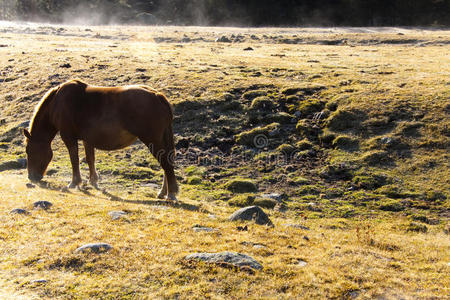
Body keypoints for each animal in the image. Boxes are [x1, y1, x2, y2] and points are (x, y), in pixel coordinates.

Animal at [24, 79, 179, 200]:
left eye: (29, 151)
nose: (31, 177)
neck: (57, 103)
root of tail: (157, 95)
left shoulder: (69, 138)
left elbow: (74, 160)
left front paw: (74, 182)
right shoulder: (87, 140)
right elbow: (90, 159)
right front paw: (93, 181)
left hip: (152, 140)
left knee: (165, 163)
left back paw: (171, 193)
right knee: (166, 163)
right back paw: (163, 192)